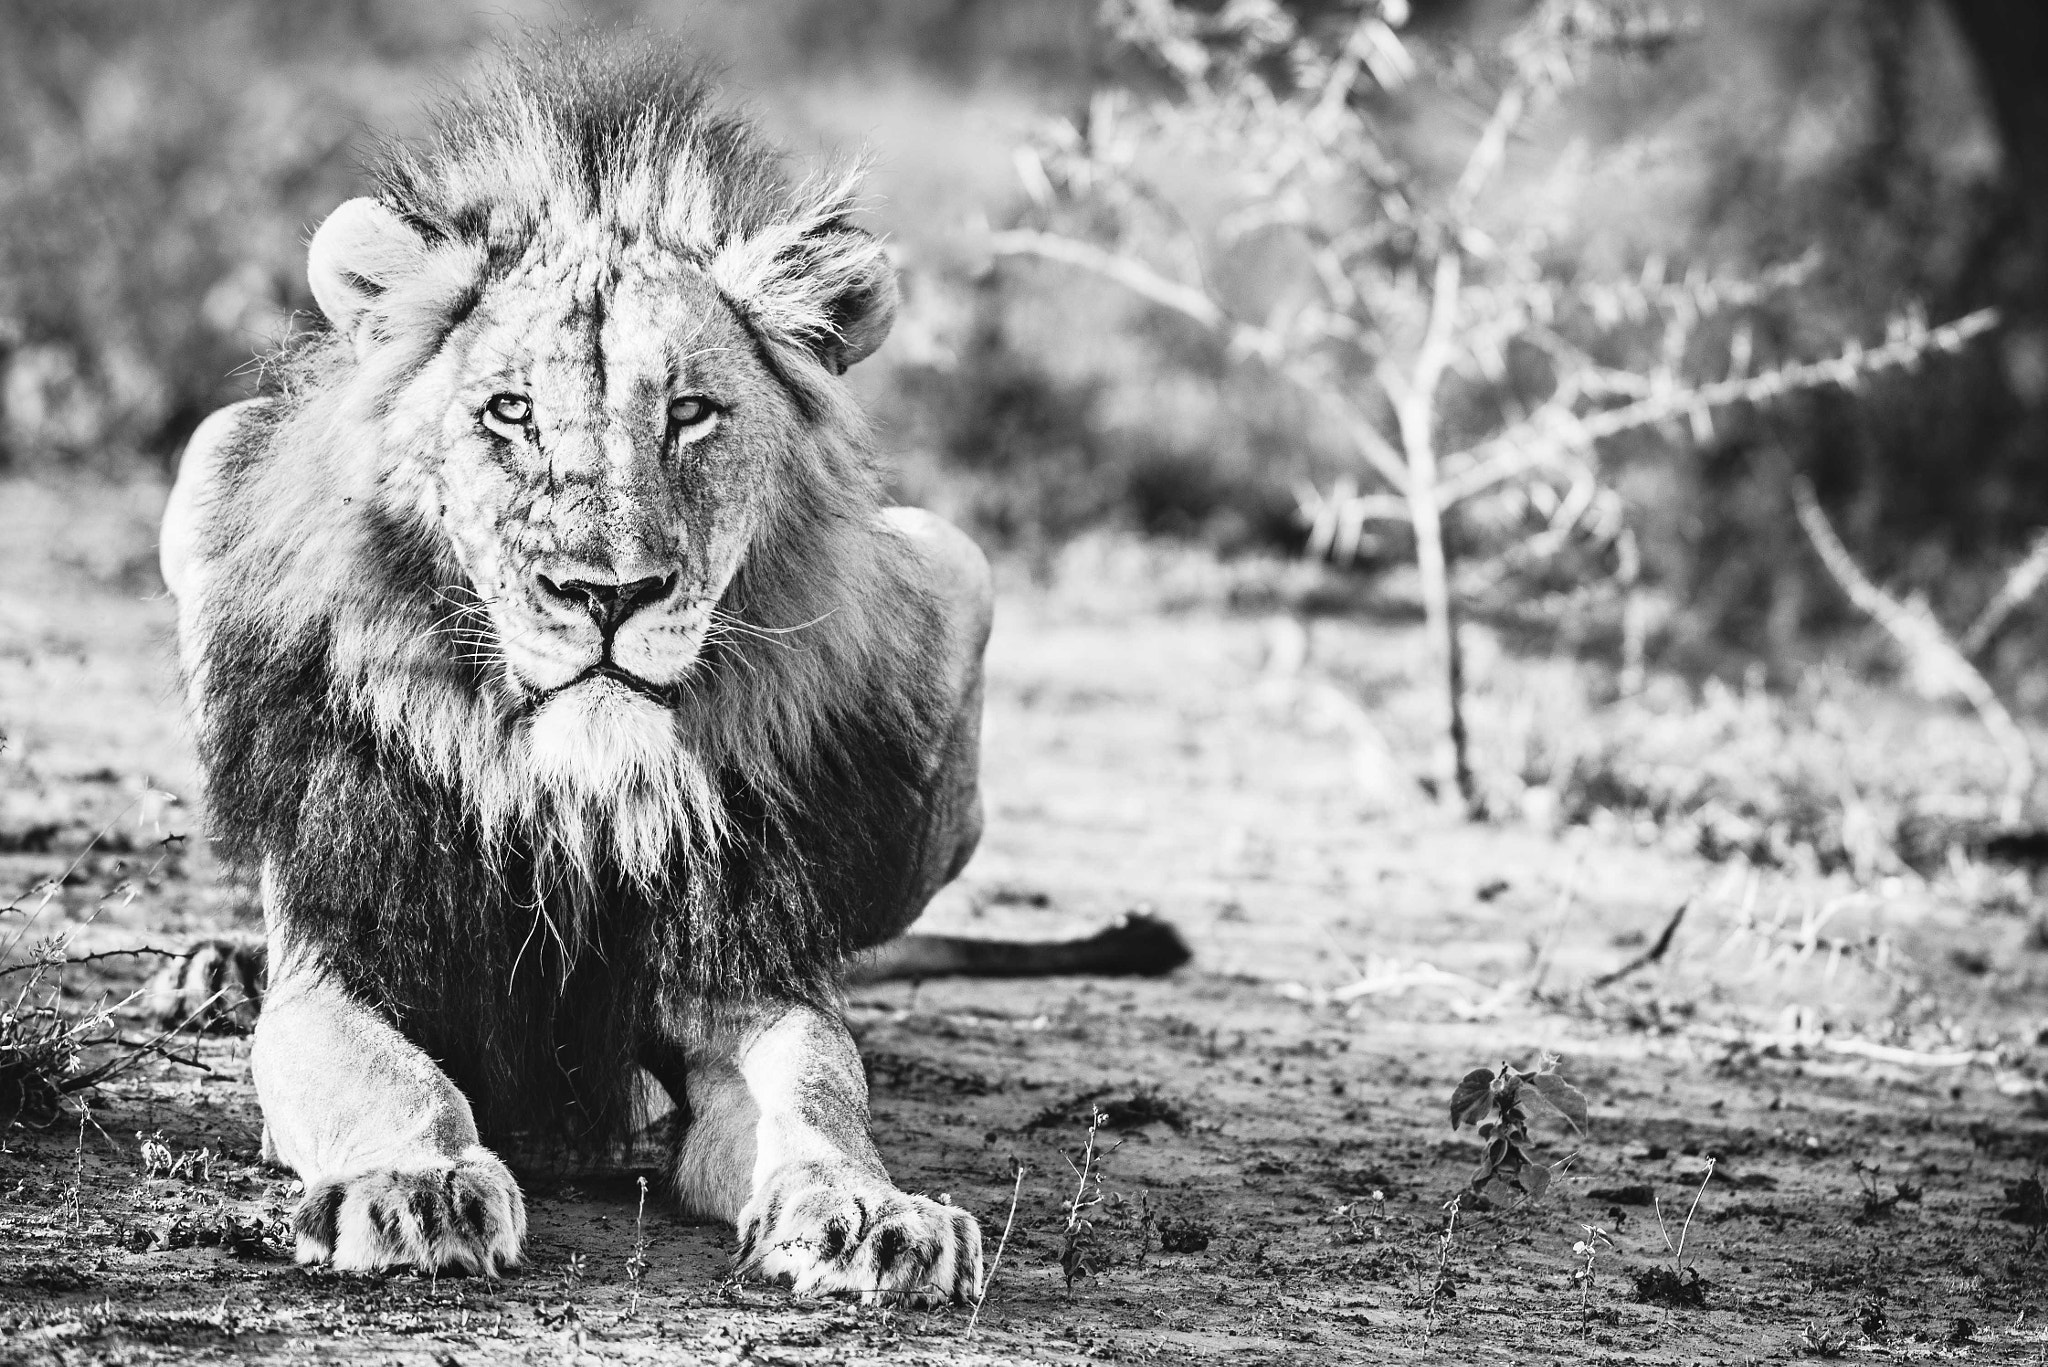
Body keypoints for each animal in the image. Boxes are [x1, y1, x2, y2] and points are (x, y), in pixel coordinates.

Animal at [154, 37, 1184, 1302]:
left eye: (689, 413)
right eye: (510, 411)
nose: (607, 591)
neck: (578, 791)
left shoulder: (743, 980)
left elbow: (817, 1086)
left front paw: (871, 1209)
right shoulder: (343, 963)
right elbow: (382, 1073)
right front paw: (414, 1184)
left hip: (954, 568)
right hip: (211, 460)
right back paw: (220, 969)